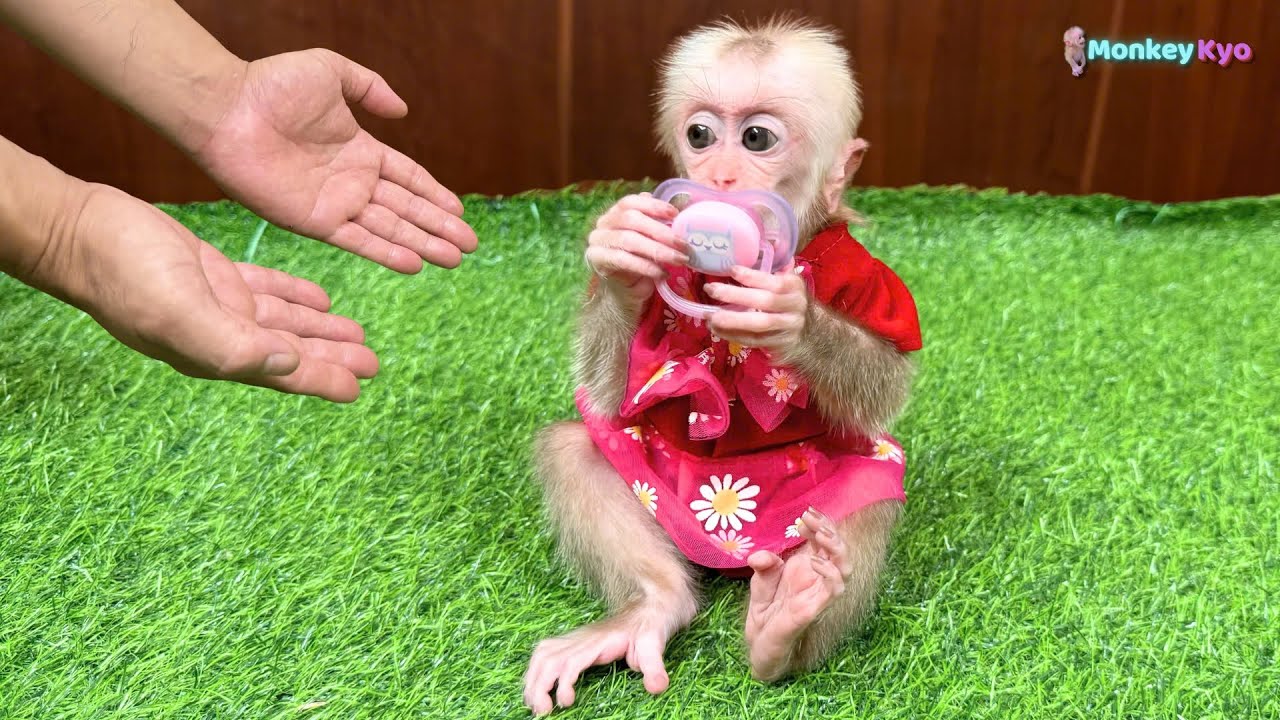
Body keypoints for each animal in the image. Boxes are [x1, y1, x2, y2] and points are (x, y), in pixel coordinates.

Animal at [523, 17, 923, 715]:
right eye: (700, 135)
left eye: (756, 138)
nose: (720, 176)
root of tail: (730, 557)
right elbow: (610, 391)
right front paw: (621, 253)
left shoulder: (870, 282)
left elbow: (881, 387)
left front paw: (795, 321)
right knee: (578, 448)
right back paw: (653, 607)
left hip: (826, 504)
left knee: (865, 495)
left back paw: (782, 628)